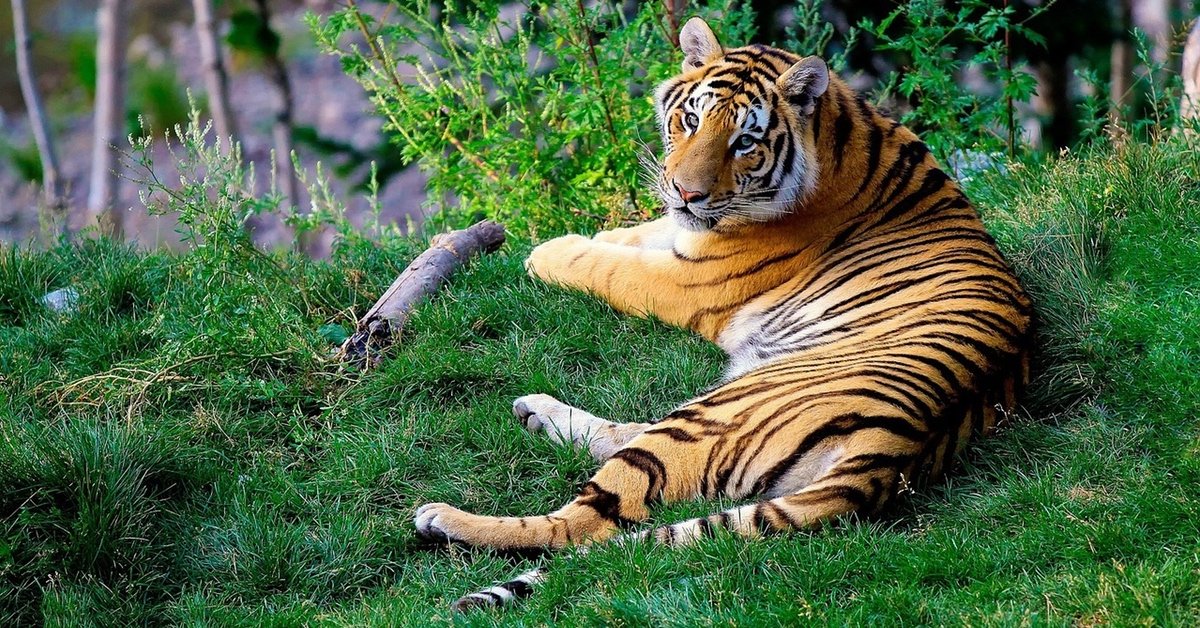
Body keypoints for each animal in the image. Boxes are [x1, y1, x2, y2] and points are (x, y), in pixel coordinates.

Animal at [414, 16, 1034, 611]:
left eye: (744, 142)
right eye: (690, 120)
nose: (686, 193)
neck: (840, 135)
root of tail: (896, 451)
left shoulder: (688, 280)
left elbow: (609, 266)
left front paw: (548, 251)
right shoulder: (683, 236)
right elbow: (636, 234)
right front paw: (596, 233)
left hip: (714, 412)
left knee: (585, 524)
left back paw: (444, 518)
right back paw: (535, 412)